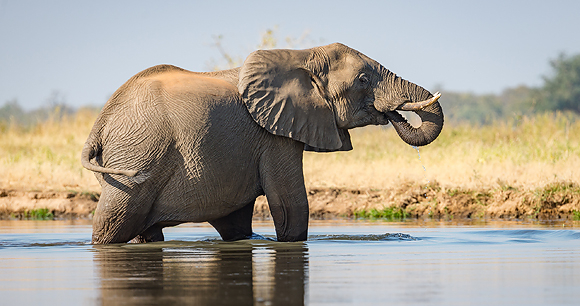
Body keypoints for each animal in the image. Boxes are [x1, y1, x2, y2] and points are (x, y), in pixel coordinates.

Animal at [81, 42, 444, 244]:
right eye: (363, 80)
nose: (392, 113)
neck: (303, 56)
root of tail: (101, 123)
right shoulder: (274, 136)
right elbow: (290, 205)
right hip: (137, 154)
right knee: (113, 221)